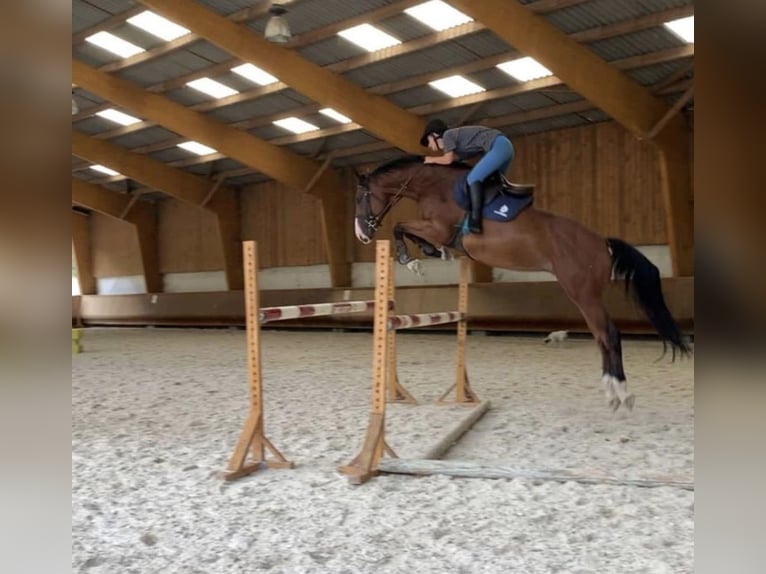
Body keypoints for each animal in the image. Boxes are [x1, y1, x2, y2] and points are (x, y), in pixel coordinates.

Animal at [353, 155, 692, 411]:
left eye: (361, 197)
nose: (362, 235)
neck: (434, 187)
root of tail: (601, 242)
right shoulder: (436, 230)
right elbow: (409, 231)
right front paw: (430, 254)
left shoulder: (438, 228)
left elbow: (400, 226)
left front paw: (412, 260)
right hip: (586, 295)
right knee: (602, 336)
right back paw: (611, 391)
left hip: (581, 292)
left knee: (607, 333)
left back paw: (620, 392)